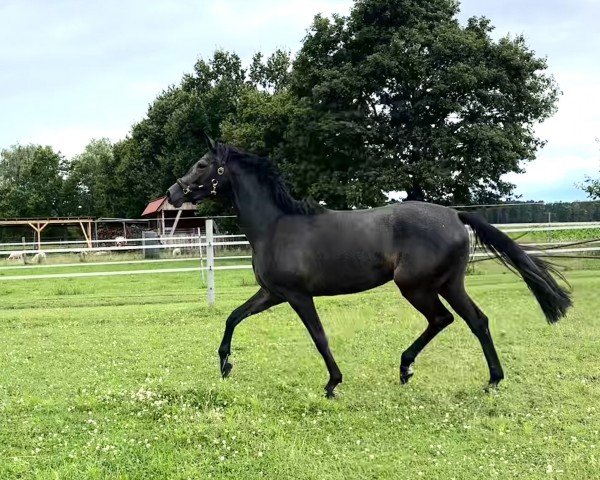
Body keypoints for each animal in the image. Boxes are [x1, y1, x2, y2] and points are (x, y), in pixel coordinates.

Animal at [166, 135, 568, 398]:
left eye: (201, 164)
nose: (172, 194)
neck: (275, 226)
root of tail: (455, 215)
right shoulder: (272, 293)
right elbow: (233, 317)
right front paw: (225, 365)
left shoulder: (297, 296)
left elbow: (319, 337)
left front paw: (332, 383)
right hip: (447, 284)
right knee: (474, 320)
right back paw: (471, 377)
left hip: (417, 287)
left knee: (447, 319)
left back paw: (423, 370)